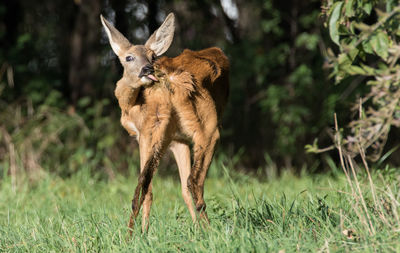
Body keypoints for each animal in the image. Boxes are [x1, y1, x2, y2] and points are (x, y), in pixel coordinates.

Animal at [100, 12, 230, 233]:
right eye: (129, 57)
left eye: (153, 56)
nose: (147, 69)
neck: (131, 104)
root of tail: (171, 82)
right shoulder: (175, 139)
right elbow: (174, 188)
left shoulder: (149, 134)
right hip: (196, 129)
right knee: (183, 182)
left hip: (206, 128)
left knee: (187, 181)